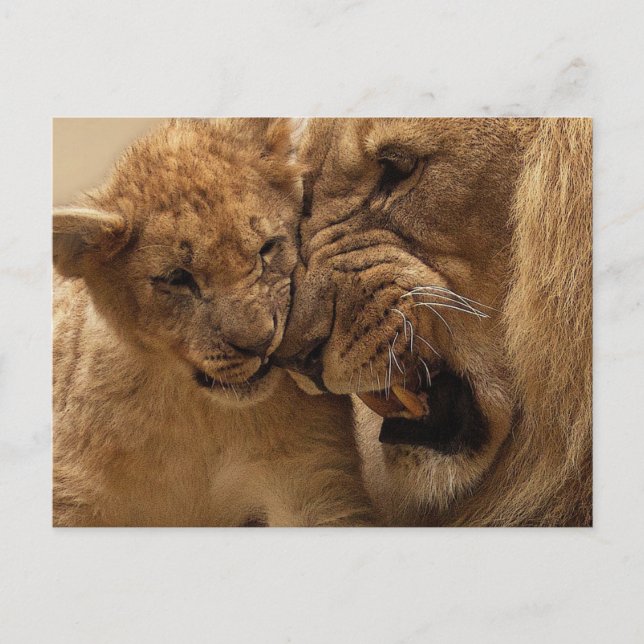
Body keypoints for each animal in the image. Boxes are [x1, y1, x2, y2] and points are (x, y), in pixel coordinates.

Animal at [53, 118, 374, 527]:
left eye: (267, 248)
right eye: (177, 278)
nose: (261, 343)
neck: (201, 416)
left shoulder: (313, 480)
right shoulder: (70, 496)